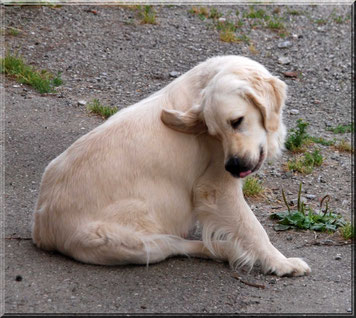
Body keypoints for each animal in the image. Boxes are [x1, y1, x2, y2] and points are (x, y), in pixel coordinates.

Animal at [33, 56, 312, 276]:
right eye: (215, 134)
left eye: (237, 121)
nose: (233, 167)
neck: (204, 81)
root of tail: (40, 229)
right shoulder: (214, 189)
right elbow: (253, 229)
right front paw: (280, 263)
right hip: (136, 241)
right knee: (176, 246)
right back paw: (228, 250)